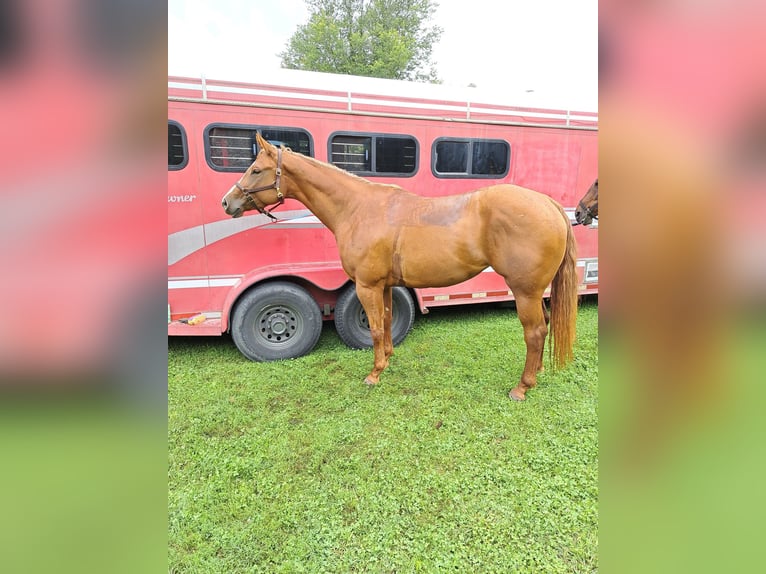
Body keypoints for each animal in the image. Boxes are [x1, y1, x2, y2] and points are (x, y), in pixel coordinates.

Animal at [222, 133, 578, 401]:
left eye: (256, 169)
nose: (227, 202)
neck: (358, 208)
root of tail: (549, 204)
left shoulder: (367, 285)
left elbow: (376, 328)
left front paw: (374, 374)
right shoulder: (385, 285)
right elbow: (387, 323)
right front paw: (387, 362)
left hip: (524, 291)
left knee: (535, 331)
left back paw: (522, 387)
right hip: (535, 292)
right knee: (544, 325)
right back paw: (538, 372)